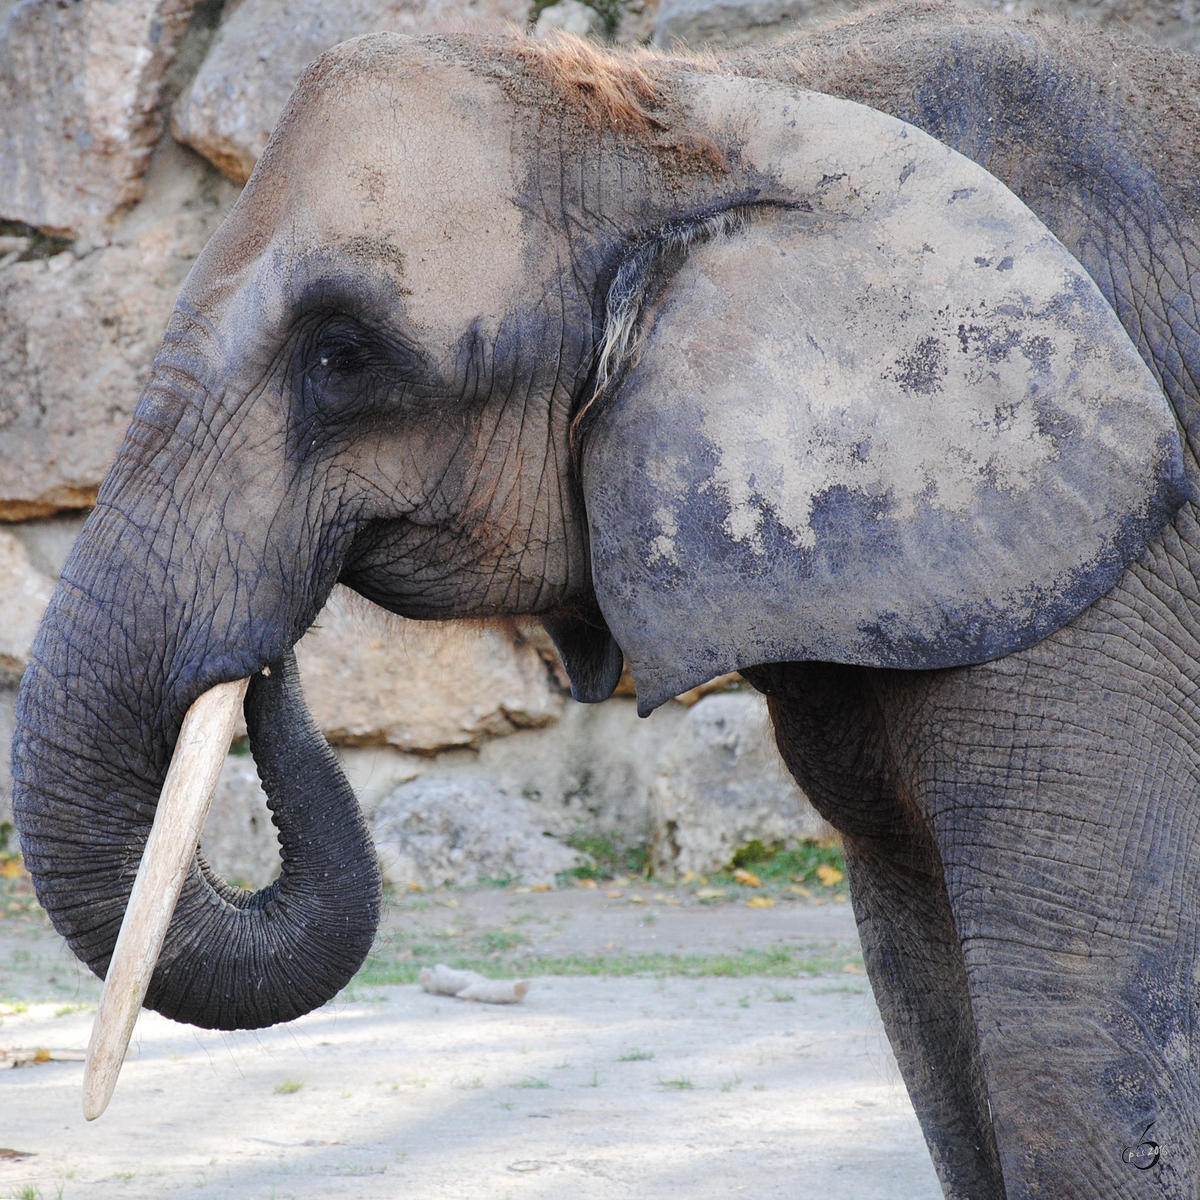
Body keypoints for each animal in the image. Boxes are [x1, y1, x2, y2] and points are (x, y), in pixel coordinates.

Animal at [9, 0, 1200, 1195]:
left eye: (340, 357)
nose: (265, 652)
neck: (710, 106)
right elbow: (924, 987)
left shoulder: (1103, 568)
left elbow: (1071, 1029)